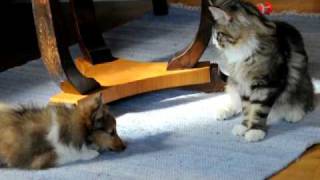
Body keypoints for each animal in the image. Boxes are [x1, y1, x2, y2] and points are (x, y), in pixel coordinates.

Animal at [209, 0, 314, 142]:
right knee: (235, 102)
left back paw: (294, 113)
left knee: (303, 100)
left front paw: (255, 130)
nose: (213, 42)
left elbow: (258, 110)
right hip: (232, 82)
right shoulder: (242, 84)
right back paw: (225, 111)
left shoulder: (268, 85)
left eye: (218, 34)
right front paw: (244, 126)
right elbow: (246, 108)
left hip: (301, 81)